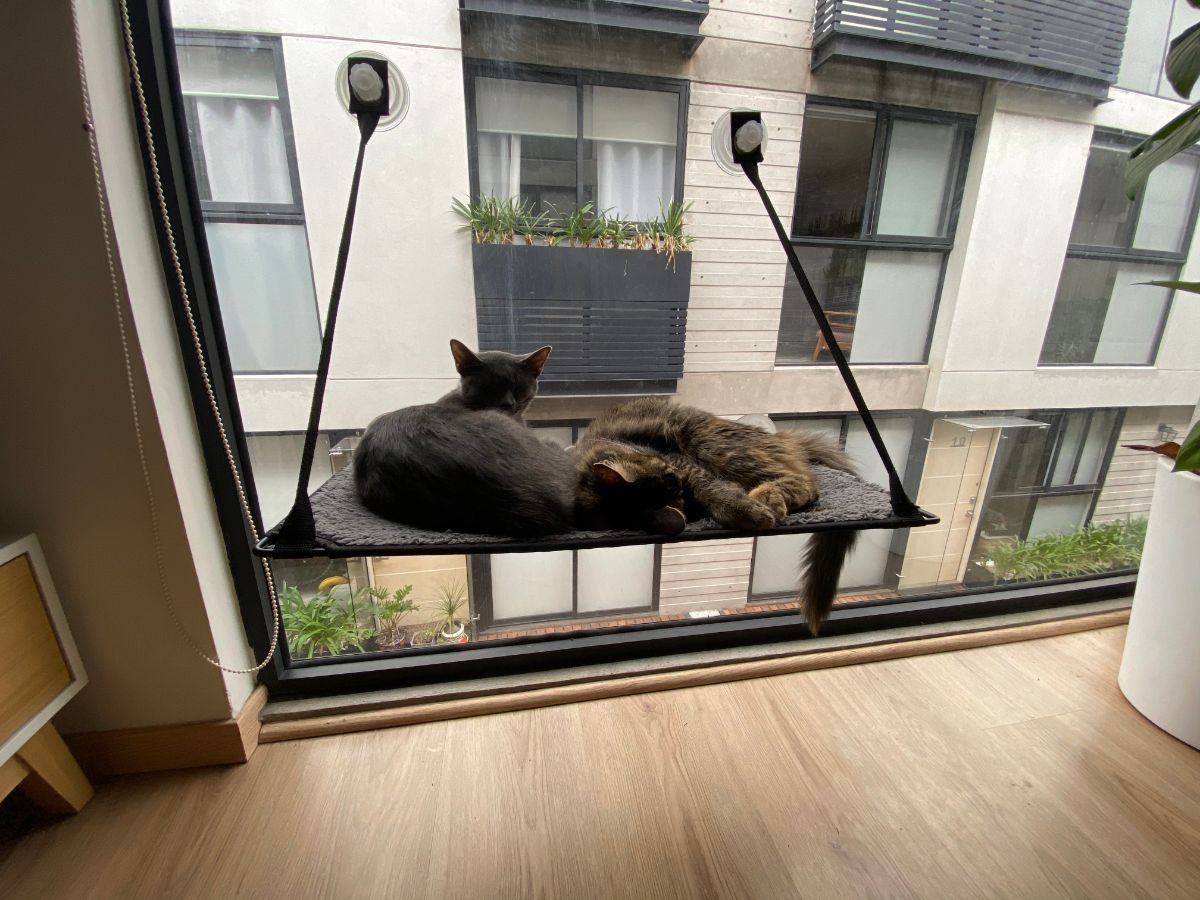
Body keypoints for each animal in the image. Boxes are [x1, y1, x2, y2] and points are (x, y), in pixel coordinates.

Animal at [576, 393, 859, 633]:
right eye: (674, 491)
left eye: (672, 479)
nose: (680, 483)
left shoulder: (682, 462)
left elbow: (712, 489)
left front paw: (743, 509)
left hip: (710, 444)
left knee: (806, 481)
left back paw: (766, 498)